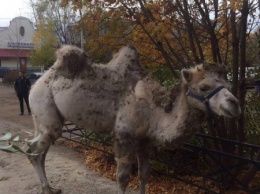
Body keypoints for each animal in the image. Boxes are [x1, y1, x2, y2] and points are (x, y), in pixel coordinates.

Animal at [27, 45, 241, 194]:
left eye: (227, 83)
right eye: (203, 87)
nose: (235, 104)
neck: (154, 109)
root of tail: (36, 82)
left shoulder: (144, 139)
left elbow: (144, 172)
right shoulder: (124, 135)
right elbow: (122, 177)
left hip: (42, 118)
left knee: (40, 151)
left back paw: (51, 187)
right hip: (45, 108)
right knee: (34, 152)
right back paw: (46, 188)